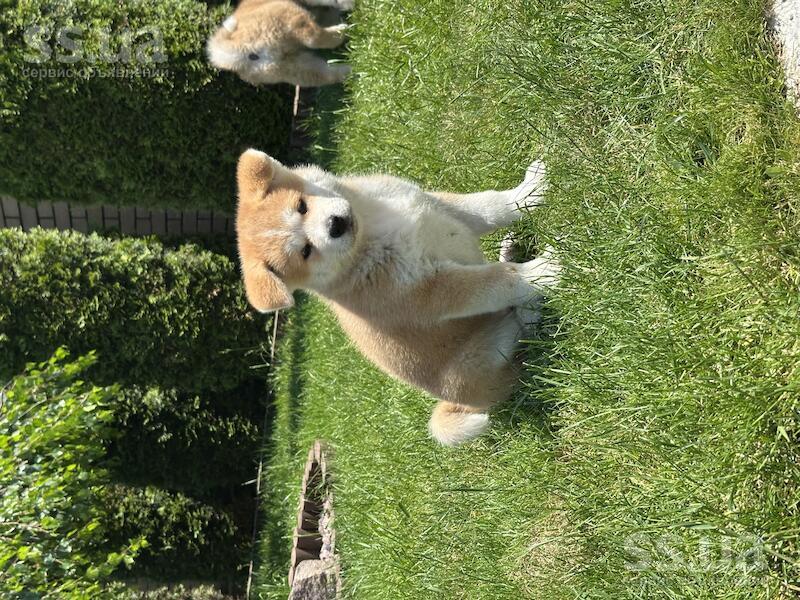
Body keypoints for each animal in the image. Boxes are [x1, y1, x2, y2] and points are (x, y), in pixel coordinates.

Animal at [206, 0, 352, 87]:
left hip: (293, 68)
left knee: (330, 74)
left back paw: (351, 70)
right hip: (290, 18)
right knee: (316, 38)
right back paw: (344, 30)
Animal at [235, 149, 560, 445]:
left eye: (301, 206)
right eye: (305, 251)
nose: (335, 225)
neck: (370, 228)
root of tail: (467, 402)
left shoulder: (433, 202)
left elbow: (490, 206)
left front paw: (531, 190)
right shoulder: (433, 291)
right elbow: (497, 279)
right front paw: (541, 272)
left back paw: (510, 249)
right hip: (479, 356)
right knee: (521, 333)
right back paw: (531, 305)